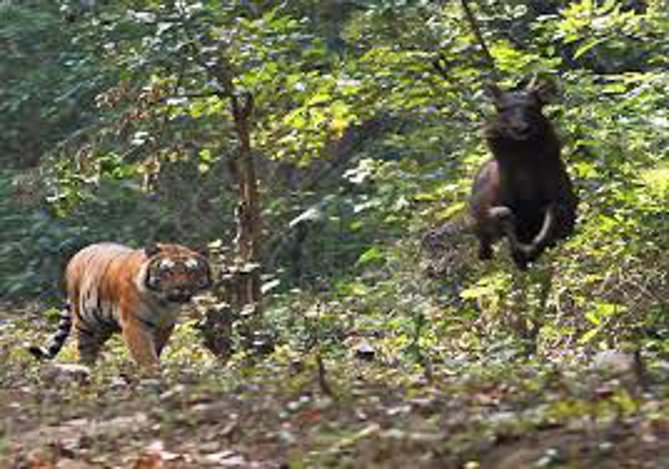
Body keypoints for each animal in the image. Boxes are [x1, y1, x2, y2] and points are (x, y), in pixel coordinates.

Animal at [29, 242, 212, 367]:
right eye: (168, 271)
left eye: (191, 271)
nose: (181, 288)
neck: (162, 303)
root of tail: (77, 254)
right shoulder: (134, 323)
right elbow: (143, 350)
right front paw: (152, 371)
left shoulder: (165, 325)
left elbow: (157, 347)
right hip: (84, 320)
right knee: (84, 347)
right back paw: (86, 368)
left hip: (103, 326)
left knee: (94, 345)